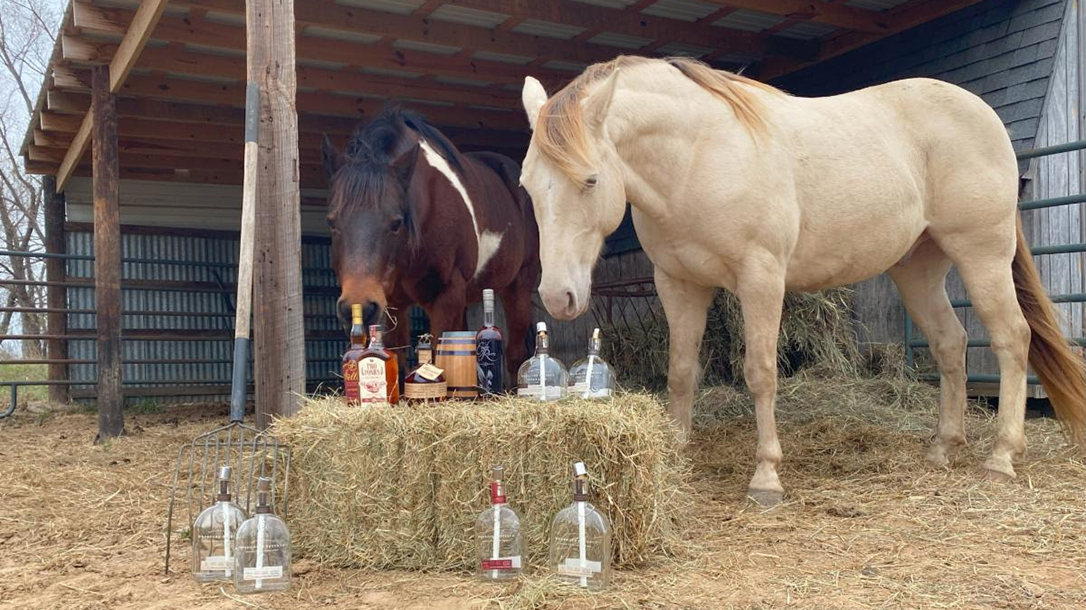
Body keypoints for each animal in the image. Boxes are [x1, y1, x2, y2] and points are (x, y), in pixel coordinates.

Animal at [322, 107, 539, 385]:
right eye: (332, 222)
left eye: (396, 223)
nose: (357, 307)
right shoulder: (393, 304)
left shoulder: (445, 296)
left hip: (518, 285)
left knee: (515, 354)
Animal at [518, 55, 1086, 505]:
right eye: (527, 185)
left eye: (590, 180)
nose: (557, 296)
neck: (698, 155)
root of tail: (983, 116)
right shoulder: (678, 284)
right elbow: (680, 373)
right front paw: (676, 456)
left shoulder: (761, 278)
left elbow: (761, 373)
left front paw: (766, 477)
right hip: (918, 268)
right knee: (952, 343)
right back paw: (943, 447)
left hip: (981, 253)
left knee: (1012, 339)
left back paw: (1002, 458)